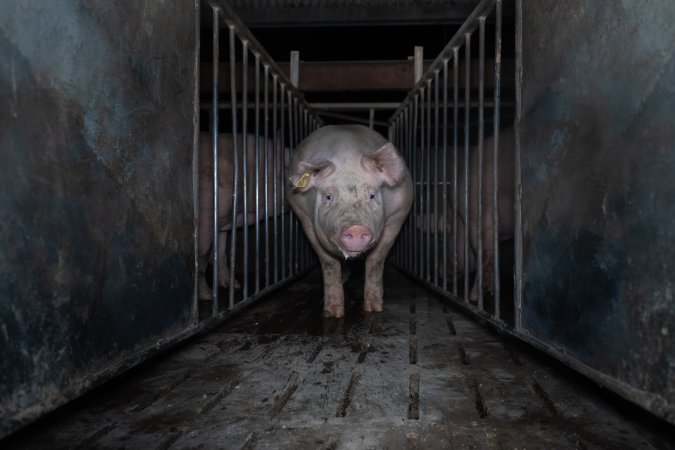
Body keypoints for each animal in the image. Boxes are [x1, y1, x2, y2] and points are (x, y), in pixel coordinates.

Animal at [198, 132, 286, 301]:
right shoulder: (206, 216)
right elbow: (203, 255)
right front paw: (207, 296)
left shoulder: (224, 220)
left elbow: (220, 253)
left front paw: (234, 286)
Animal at [287, 125, 413, 318]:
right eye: (329, 197)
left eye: (372, 195)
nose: (355, 228)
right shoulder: (304, 217)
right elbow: (329, 263)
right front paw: (333, 313)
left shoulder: (398, 214)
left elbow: (376, 261)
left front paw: (374, 309)